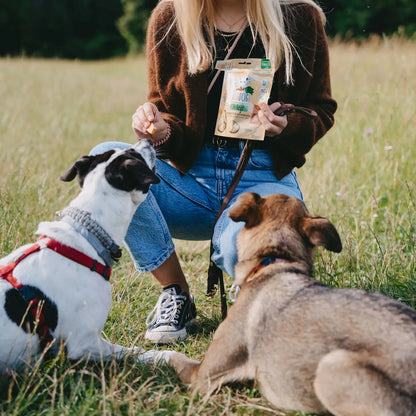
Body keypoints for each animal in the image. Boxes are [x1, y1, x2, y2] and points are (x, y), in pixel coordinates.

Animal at [0, 139, 172, 370]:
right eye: (135, 152)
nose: (147, 140)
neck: (85, 236)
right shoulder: (84, 343)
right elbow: (134, 352)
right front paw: (164, 356)